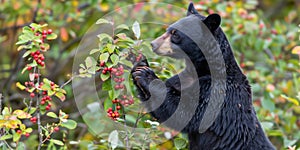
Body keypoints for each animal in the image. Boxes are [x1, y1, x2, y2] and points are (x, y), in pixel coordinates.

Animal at [131, 2, 274, 150]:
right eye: (168, 29)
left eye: (175, 34)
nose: (153, 44)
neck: (203, 69)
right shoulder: (182, 79)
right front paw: (139, 63)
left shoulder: (216, 92)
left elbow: (185, 111)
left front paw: (146, 75)